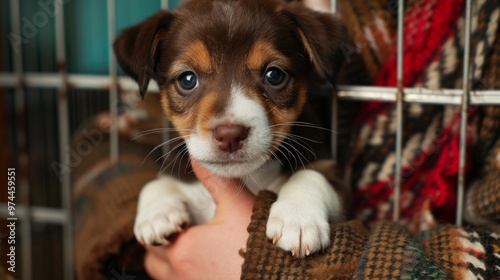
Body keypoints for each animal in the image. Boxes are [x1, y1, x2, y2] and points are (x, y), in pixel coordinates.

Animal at [113, 0, 350, 258]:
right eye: (187, 79)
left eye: (274, 75)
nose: (229, 135)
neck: (246, 178)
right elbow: (156, 182)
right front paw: (156, 213)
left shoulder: (337, 182)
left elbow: (311, 175)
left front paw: (297, 216)